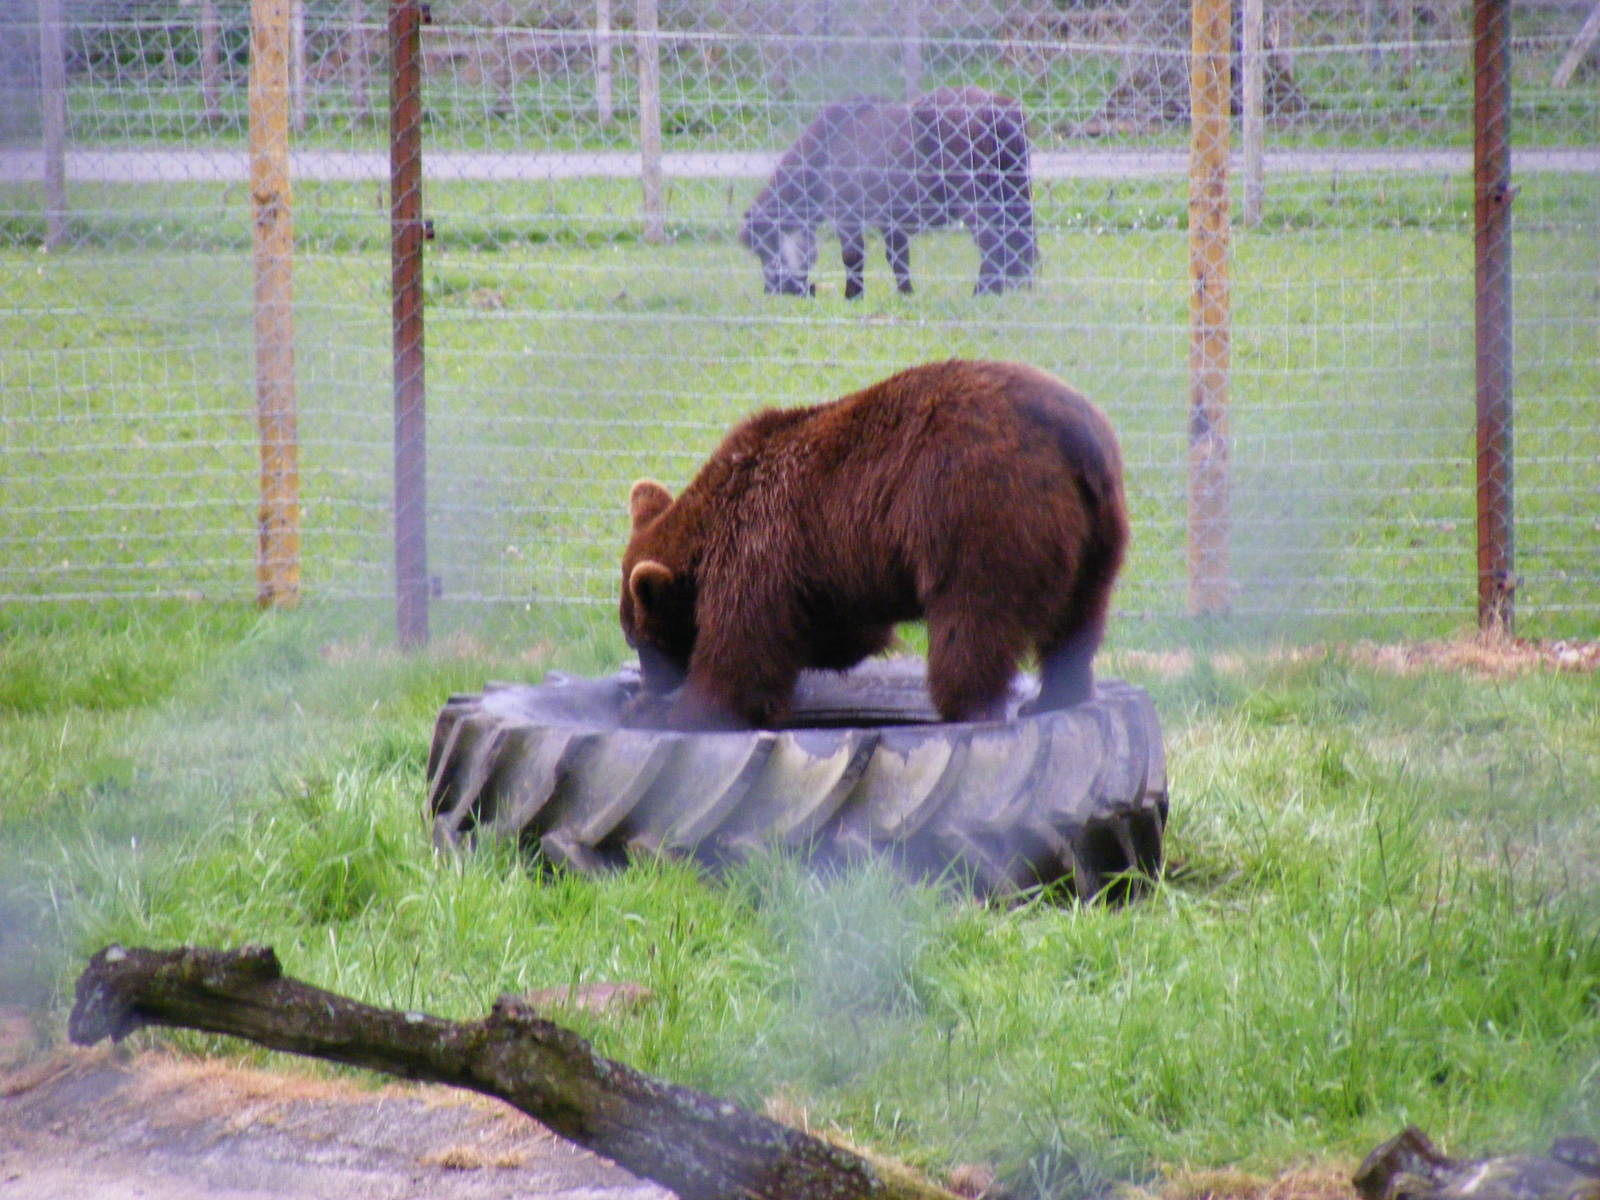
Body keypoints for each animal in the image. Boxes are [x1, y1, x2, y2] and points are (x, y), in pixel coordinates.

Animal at [618, 359, 1128, 731]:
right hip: (1098, 532)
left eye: (640, 638)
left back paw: (966, 707)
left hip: (977, 507)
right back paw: (1055, 696)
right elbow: (835, 632)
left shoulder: (757, 545)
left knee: (973, 620)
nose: (649, 683)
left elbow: (740, 652)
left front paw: (677, 710)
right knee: (1079, 619)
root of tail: (1074, 436)